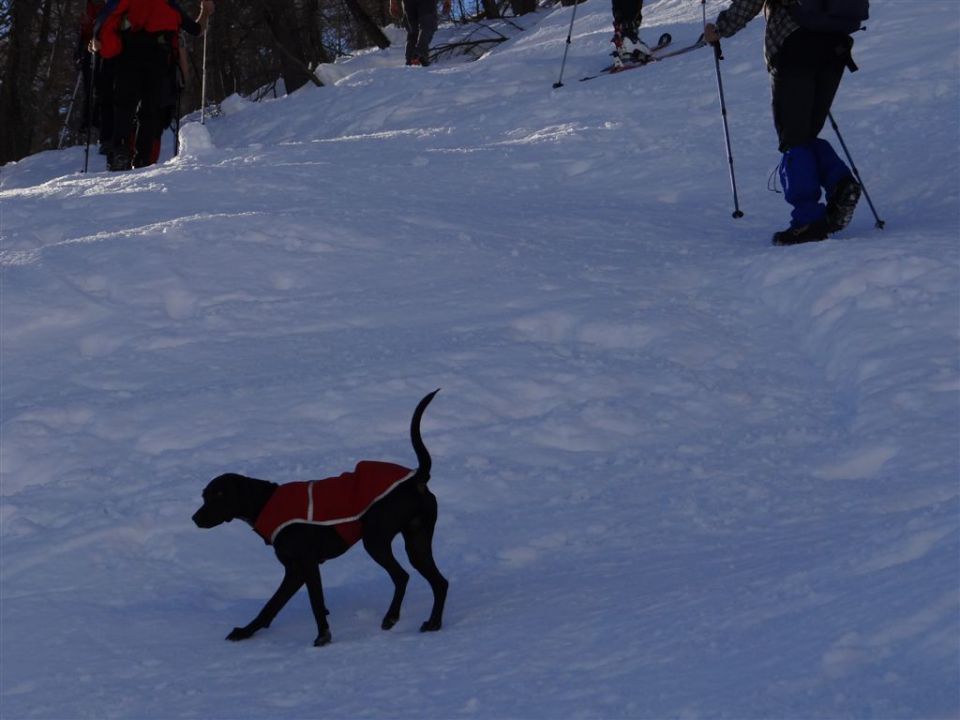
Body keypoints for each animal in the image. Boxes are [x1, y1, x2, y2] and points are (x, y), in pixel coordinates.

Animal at [196, 390, 454, 648]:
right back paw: (433, 623)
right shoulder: (294, 571)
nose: (195, 518)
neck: (265, 502)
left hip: (376, 540)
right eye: (204, 495)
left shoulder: (307, 564)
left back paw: (392, 617)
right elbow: (270, 606)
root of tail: (417, 477)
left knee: (402, 576)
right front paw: (245, 631)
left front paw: (323, 636)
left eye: (218, 495)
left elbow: (316, 603)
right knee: (440, 582)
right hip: (417, 542)